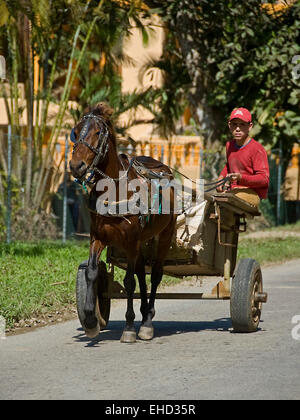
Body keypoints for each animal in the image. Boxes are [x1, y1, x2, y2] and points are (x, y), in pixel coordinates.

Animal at [69, 103, 177, 342]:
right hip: (141, 242)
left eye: (97, 133)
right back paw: (144, 313)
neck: (115, 190)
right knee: (142, 274)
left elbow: (129, 282)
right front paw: (90, 320)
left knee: (155, 275)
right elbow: (91, 272)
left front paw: (129, 327)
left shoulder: (131, 241)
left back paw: (147, 321)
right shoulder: (98, 237)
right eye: (76, 131)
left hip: (163, 236)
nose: (76, 166)